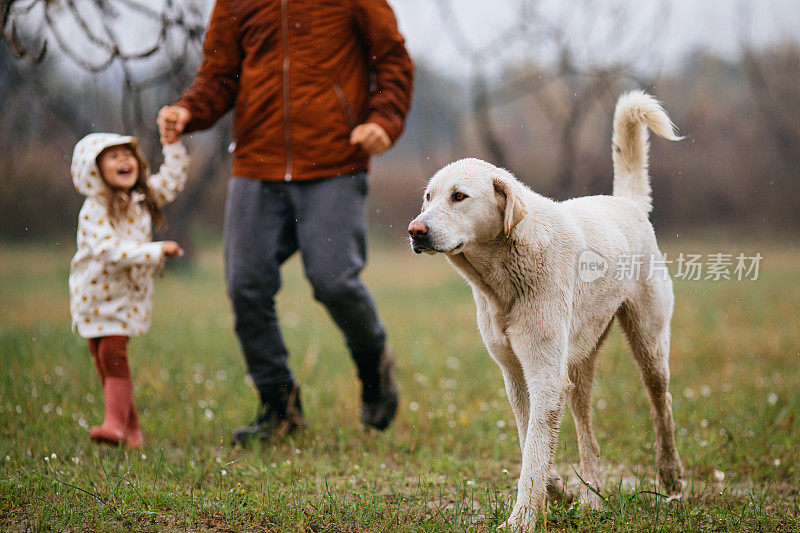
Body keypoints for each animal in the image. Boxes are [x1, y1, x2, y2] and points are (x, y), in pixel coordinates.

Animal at [410, 91, 684, 528]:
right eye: (428, 197)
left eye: (459, 196)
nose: (415, 231)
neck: (502, 277)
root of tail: (627, 204)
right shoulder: (517, 375)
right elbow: (531, 444)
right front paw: (554, 490)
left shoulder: (544, 376)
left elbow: (534, 450)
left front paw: (521, 519)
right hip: (577, 366)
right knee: (588, 434)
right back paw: (592, 498)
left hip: (649, 347)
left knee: (663, 405)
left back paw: (671, 476)